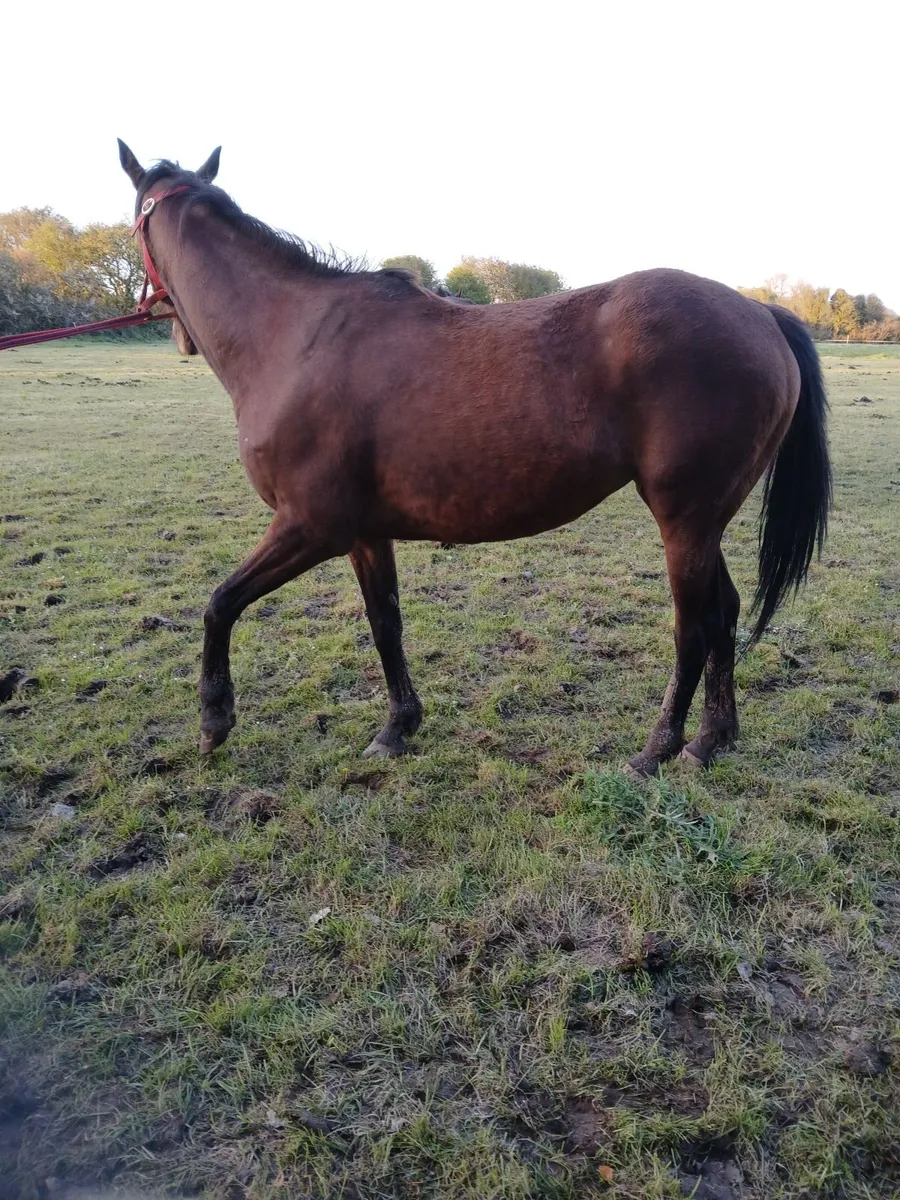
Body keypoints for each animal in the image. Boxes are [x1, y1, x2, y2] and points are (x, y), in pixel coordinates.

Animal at [116, 141, 831, 776]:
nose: (171, 332)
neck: (293, 336)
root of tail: (759, 313)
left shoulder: (310, 527)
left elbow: (219, 604)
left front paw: (214, 720)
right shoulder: (365, 534)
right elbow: (385, 624)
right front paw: (398, 727)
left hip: (684, 520)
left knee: (694, 627)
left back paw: (657, 749)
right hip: (703, 524)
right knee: (724, 615)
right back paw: (711, 741)